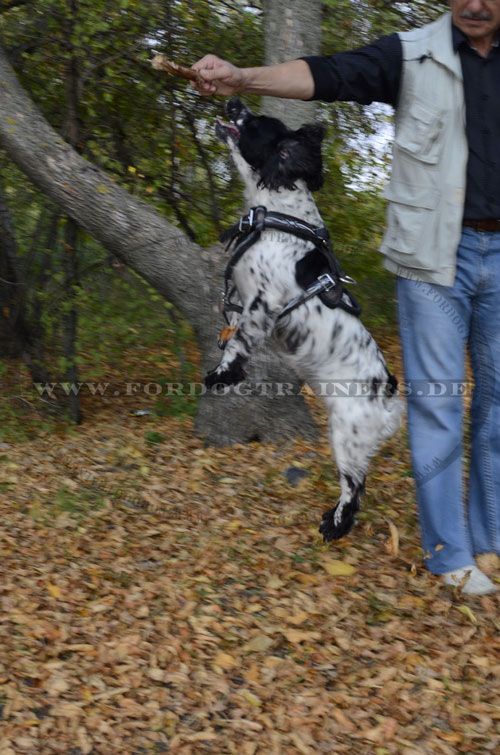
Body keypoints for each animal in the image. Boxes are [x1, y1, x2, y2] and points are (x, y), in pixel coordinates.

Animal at [205, 97, 404, 540]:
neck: (275, 216)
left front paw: (222, 375)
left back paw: (335, 525)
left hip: (347, 434)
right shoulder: (241, 298)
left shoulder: (262, 302)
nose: (232, 101)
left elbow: (240, 340)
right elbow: (232, 329)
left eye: (256, 123)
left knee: (354, 488)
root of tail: (389, 396)